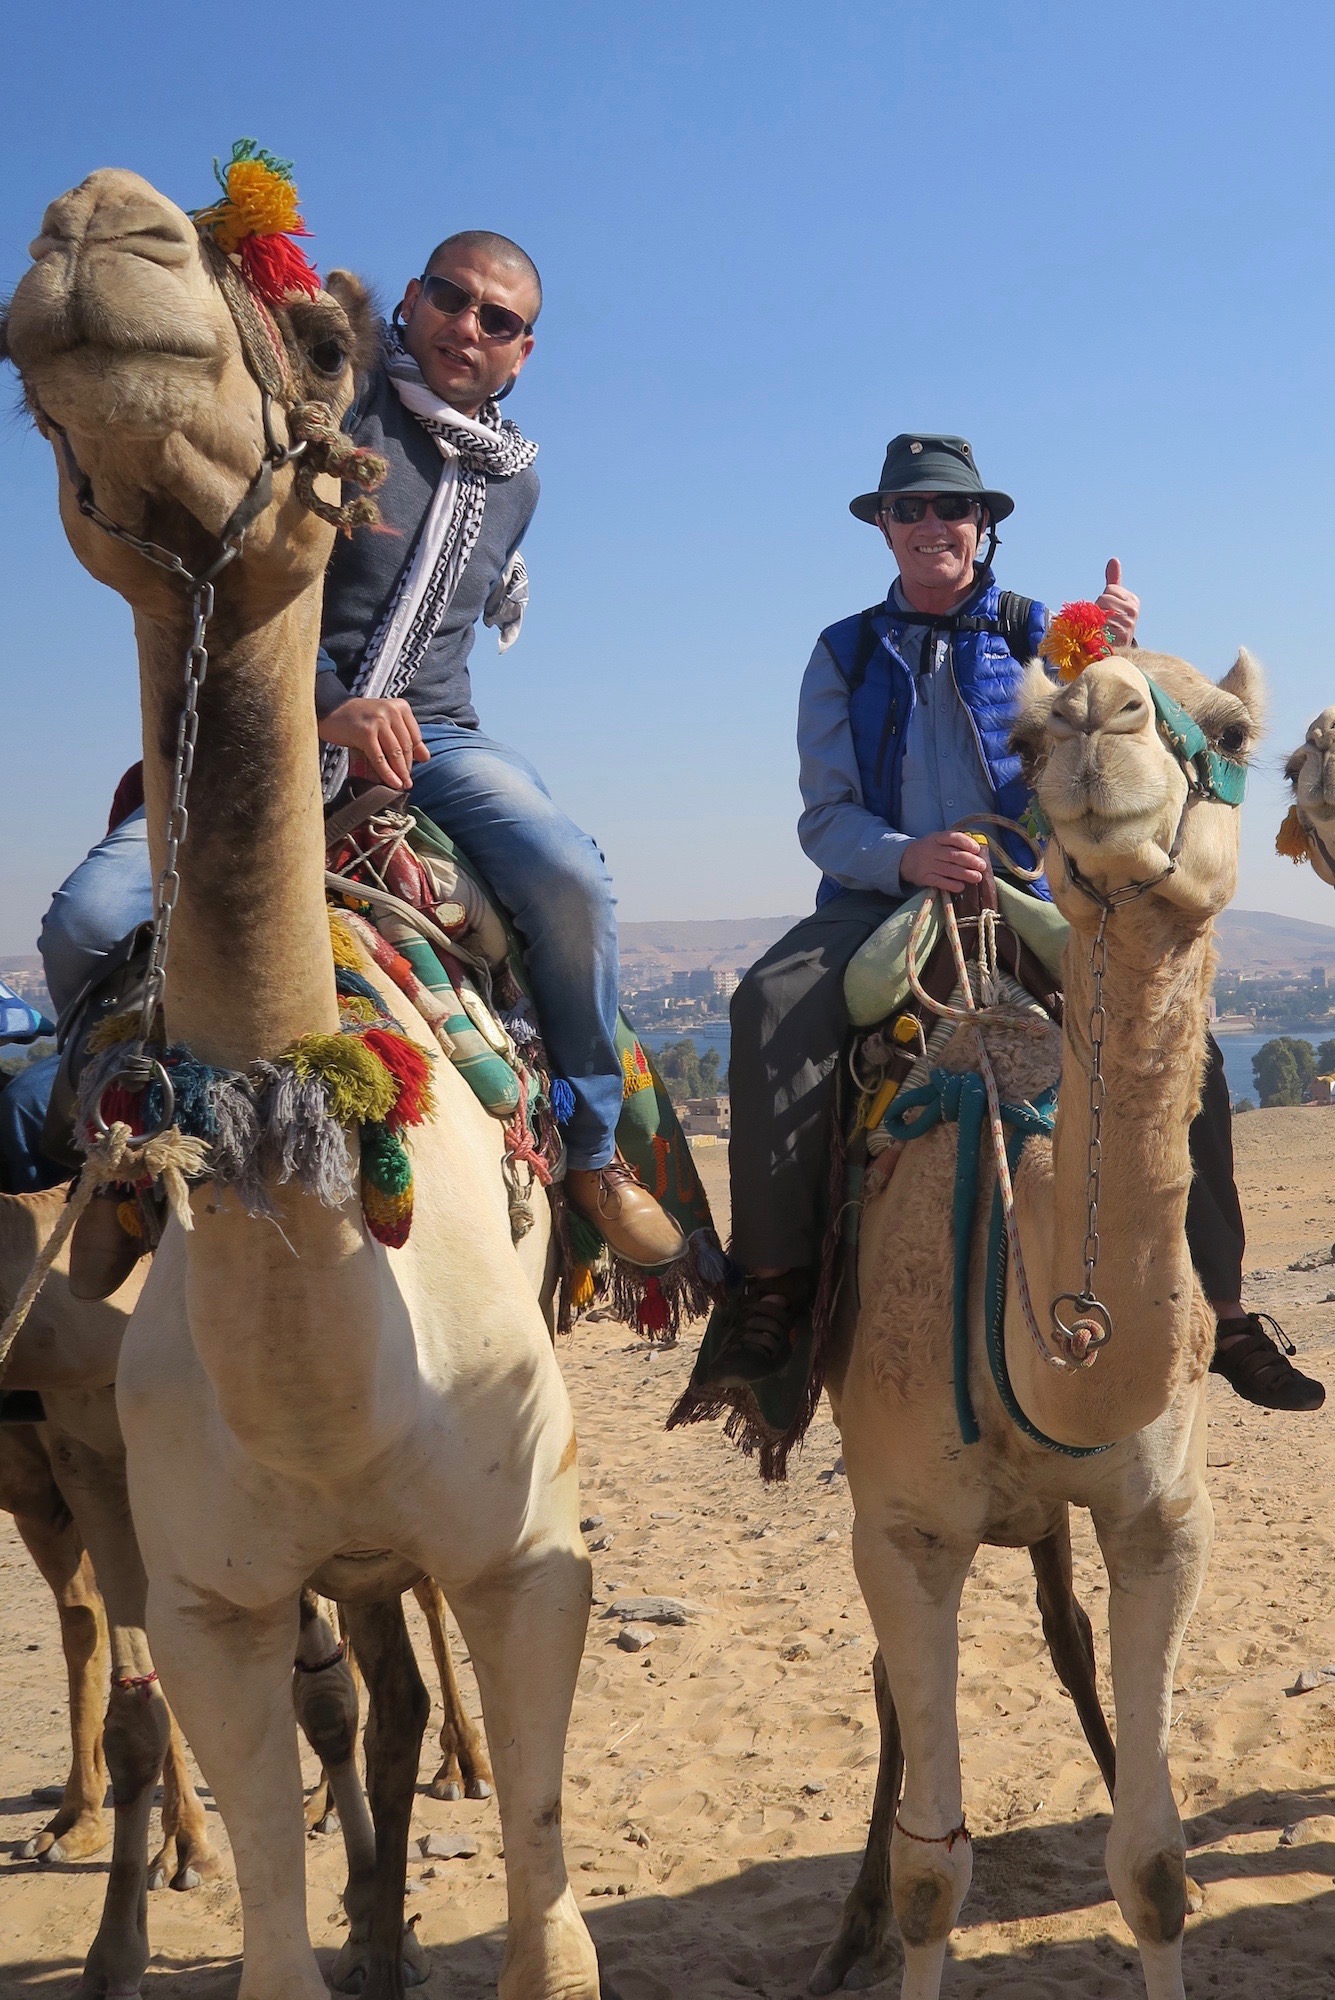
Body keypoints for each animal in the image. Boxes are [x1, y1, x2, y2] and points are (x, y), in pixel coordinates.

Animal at [0, 168, 595, 2000]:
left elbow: (551, 1932)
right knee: (373, 1697)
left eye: (323, 342)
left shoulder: (527, 1557)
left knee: (399, 1699)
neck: (334, 1375)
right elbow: (265, 1914)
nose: (96, 224)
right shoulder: (209, 1599)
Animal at [815, 644, 1263, 2000]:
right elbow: (932, 1873)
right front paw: (888, 1910)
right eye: (1022, 732)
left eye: (1233, 729)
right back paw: (847, 1928)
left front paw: (1153, 1838)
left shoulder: (1165, 1515)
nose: (1094, 708)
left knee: (1062, 1630)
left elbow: (1154, 1861)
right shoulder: (903, 1526)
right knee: (892, 1693)